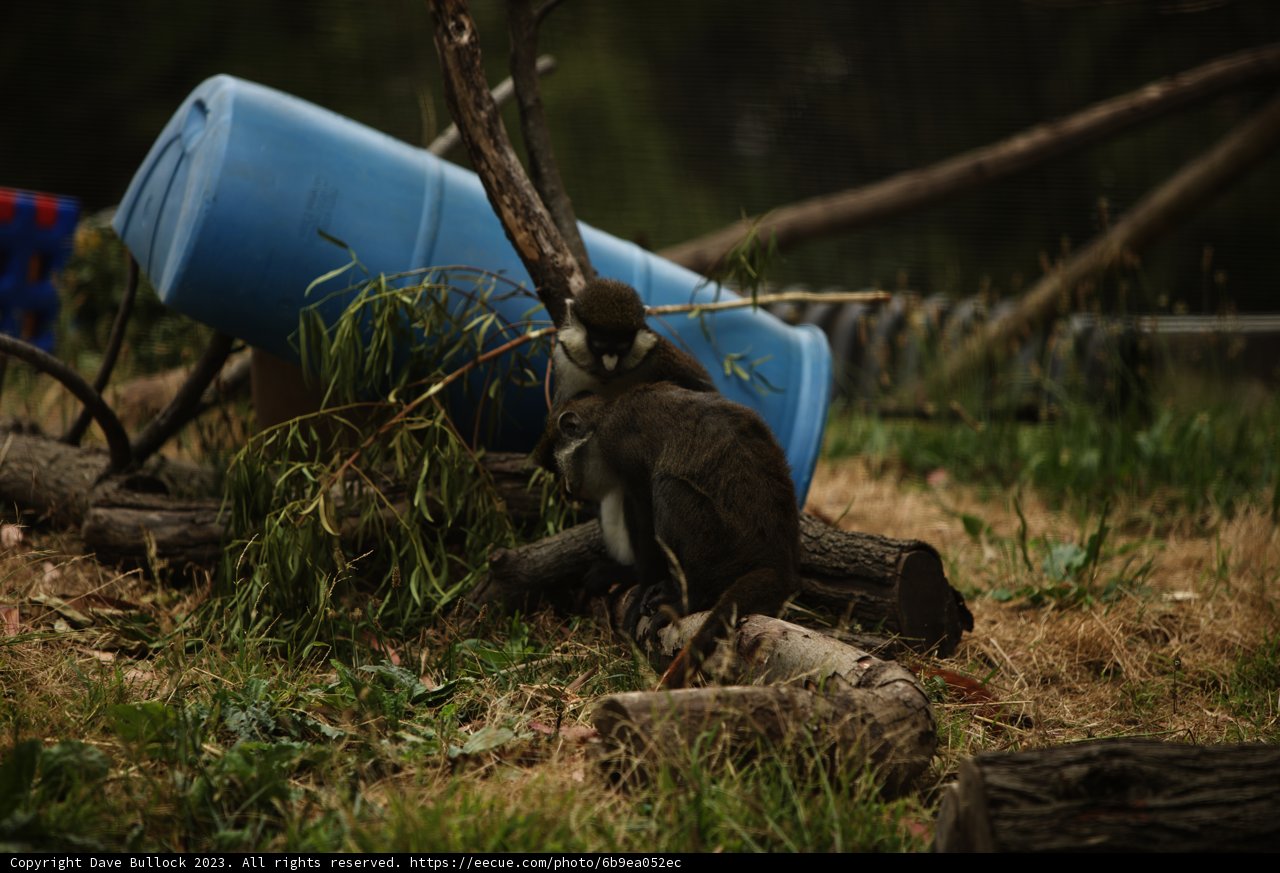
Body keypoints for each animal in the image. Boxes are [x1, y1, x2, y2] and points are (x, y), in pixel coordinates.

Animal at [549, 381, 800, 689]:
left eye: (561, 461)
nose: (569, 486)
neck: (606, 411)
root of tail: (777, 561)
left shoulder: (623, 449)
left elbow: (644, 508)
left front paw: (640, 587)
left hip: (718, 546)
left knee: (668, 487)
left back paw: (688, 598)